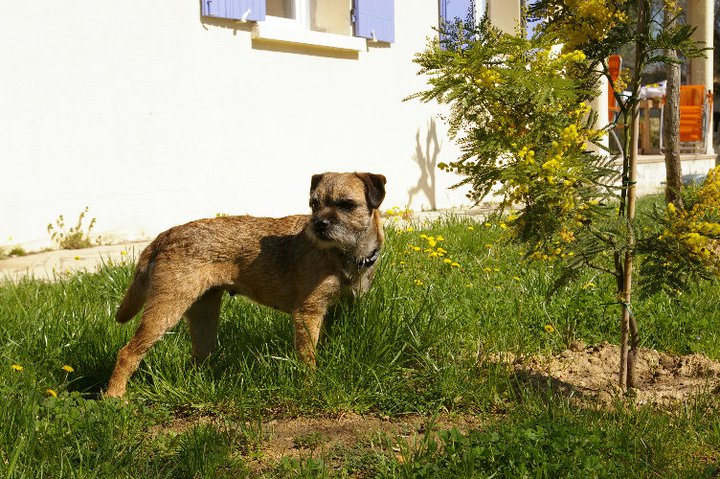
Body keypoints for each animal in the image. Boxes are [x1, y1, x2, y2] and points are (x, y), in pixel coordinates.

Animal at [105, 172, 386, 398]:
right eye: (314, 205)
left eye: (347, 205)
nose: (318, 224)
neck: (345, 256)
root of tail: (164, 236)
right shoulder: (308, 313)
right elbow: (307, 356)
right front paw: (310, 386)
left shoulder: (335, 310)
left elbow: (322, 345)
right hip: (166, 309)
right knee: (128, 352)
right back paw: (114, 396)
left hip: (204, 315)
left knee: (198, 356)